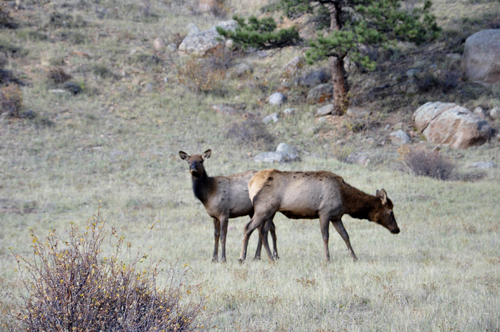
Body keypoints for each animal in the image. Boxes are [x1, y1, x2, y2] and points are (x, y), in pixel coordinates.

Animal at [240, 170, 400, 264]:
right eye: (391, 211)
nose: (397, 229)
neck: (345, 200)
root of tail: (251, 183)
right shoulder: (324, 212)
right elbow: (325, 236)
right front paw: (327, 258)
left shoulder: (336, 216)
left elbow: (345, 236)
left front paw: (355, 257)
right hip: (264, 209)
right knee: (248, 227)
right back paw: (242, 257)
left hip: (271, 212)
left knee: (263, 231)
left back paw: (271, 258)